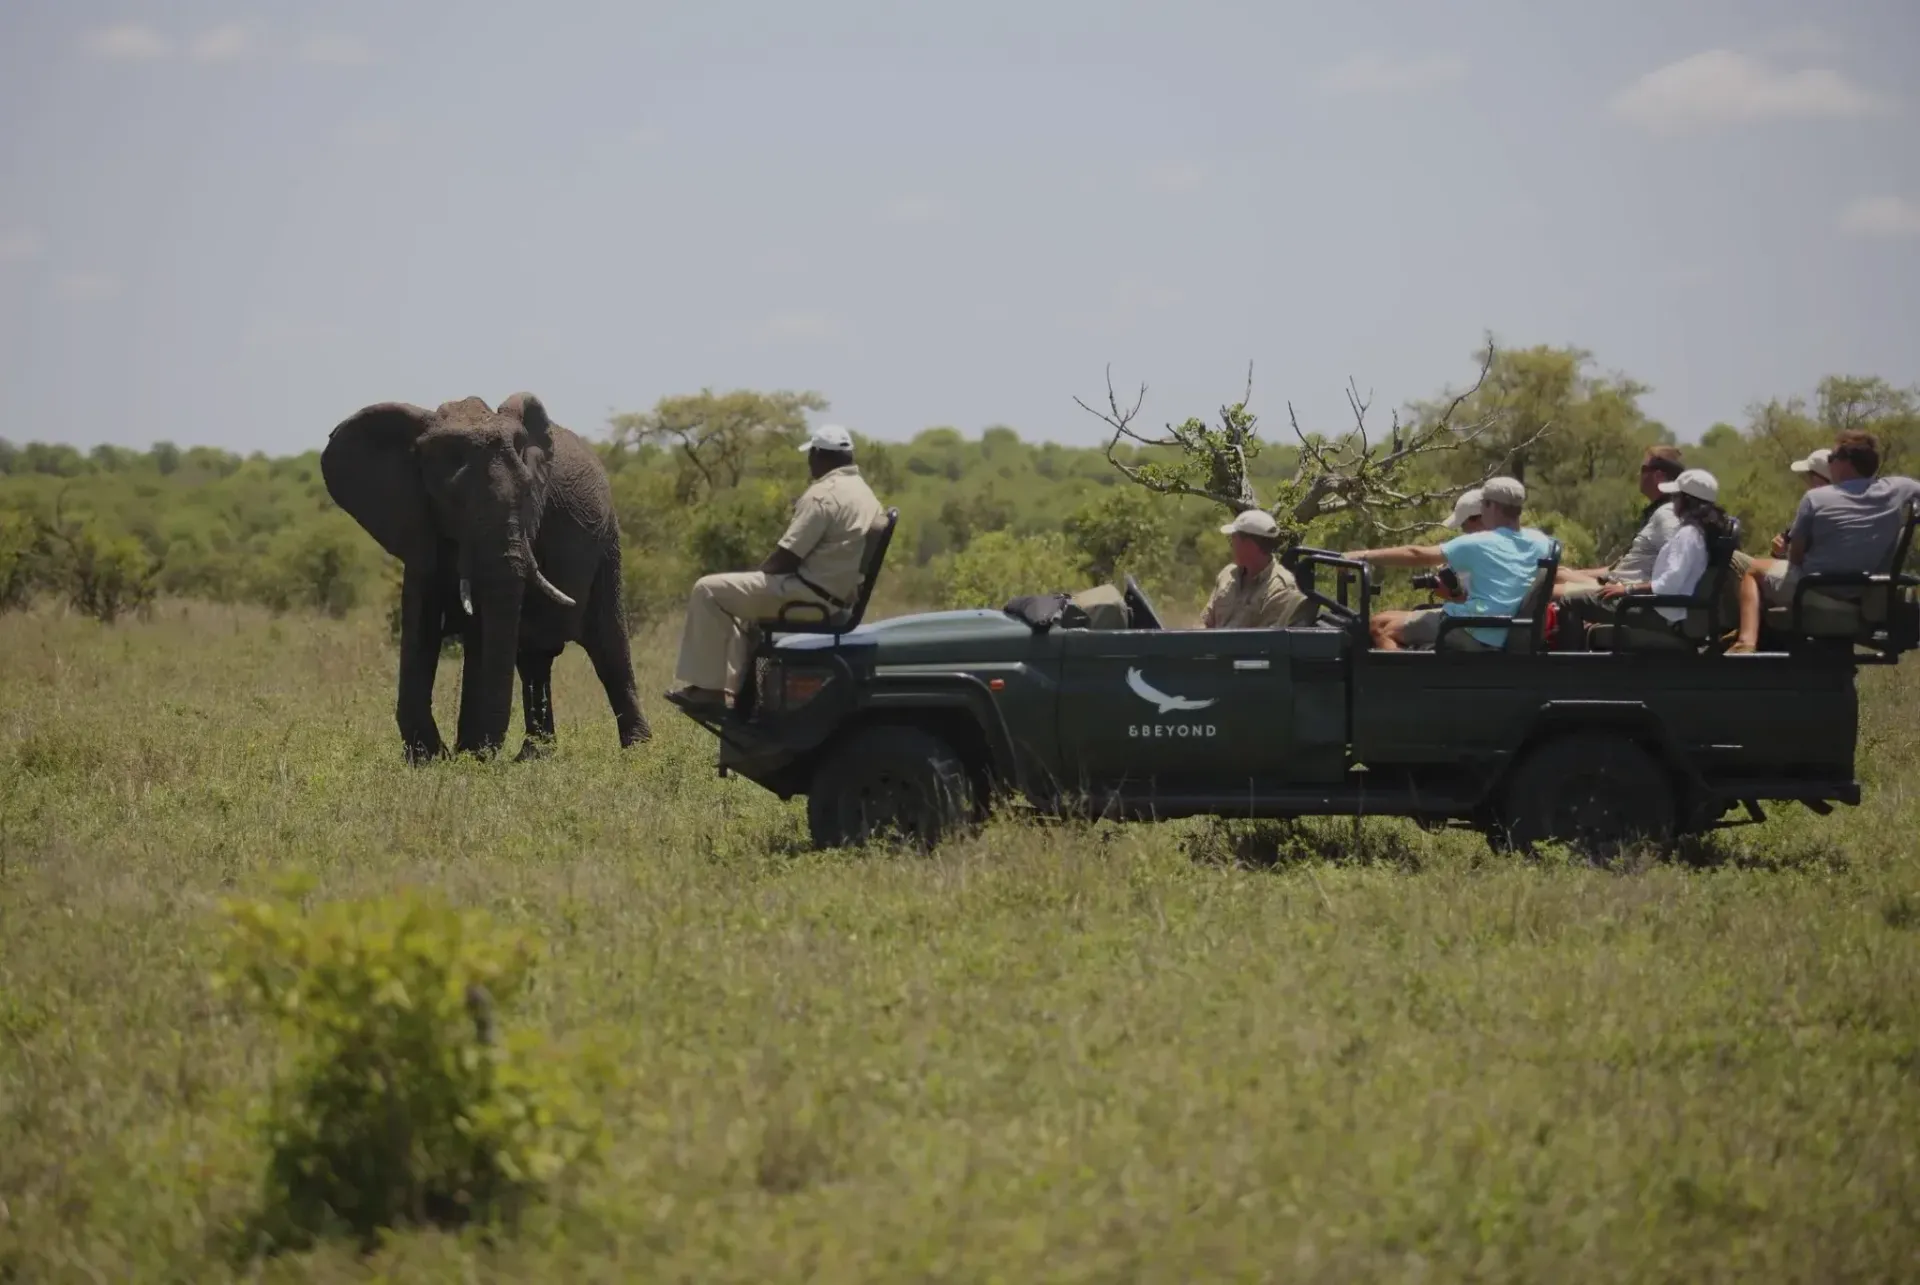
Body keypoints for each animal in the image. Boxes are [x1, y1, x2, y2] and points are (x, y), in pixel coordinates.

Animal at [321, 390, 651, 762]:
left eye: (529, 495)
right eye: (453, 502)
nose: (481, 753)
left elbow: (481, 633)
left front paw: (469, 756)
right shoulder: (418, 524)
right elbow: (420, 624)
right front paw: (429, 759)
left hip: (608, 545)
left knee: (608, 648)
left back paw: (637, 752)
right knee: (534, 660)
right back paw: (534, 756)